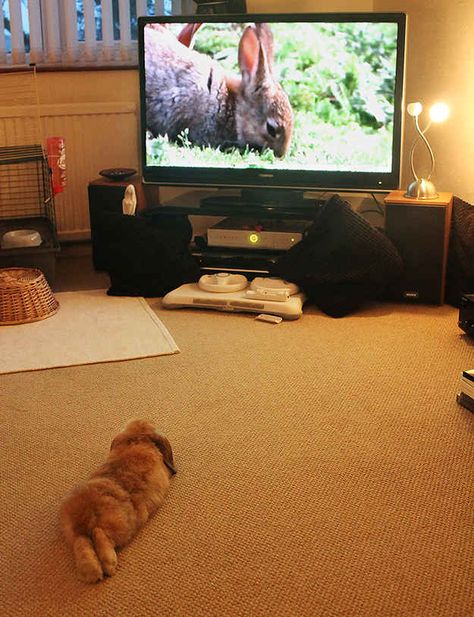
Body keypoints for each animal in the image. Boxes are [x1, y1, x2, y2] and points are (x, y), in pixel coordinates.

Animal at [59, 418, 176, 584]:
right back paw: (110, 565)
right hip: (120, 524)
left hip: (75, 533)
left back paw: (92, 572)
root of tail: (85, 517)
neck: (137, 439)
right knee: (100, 535)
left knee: (82, 543)